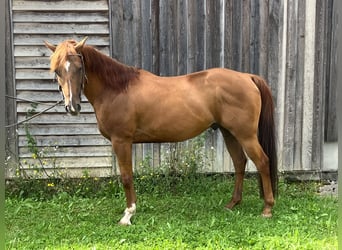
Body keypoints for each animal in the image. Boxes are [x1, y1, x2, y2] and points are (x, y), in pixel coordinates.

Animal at [44, 37, 278, 227]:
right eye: (57, 71)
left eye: (78, 67)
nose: (72, 106)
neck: (116, 89)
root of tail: (247, 77)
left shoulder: (121, 141)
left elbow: (126, 177)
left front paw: (128, 215)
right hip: (229, 132)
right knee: (240, 163)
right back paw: (232, 203)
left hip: (246, 135)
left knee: (262, 162)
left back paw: (267, 208)